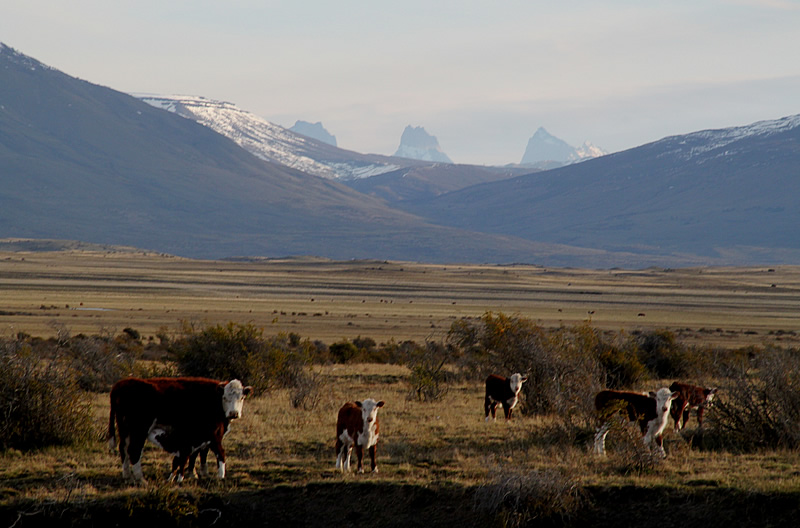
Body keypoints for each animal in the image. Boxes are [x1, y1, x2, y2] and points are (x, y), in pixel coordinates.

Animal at [106, 378, 250, 484]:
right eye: (225, 398)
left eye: (241, 398)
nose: (233, 413)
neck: (212, 399)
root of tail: (120, 385)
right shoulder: (204, 434)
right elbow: (198, 452)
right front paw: (196, 473)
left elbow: (199, 452)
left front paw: (196, 472)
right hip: (139, 429)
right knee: (134, 450)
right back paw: (140, 479)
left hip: (124, 428)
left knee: (123, 448)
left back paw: (127, 476)